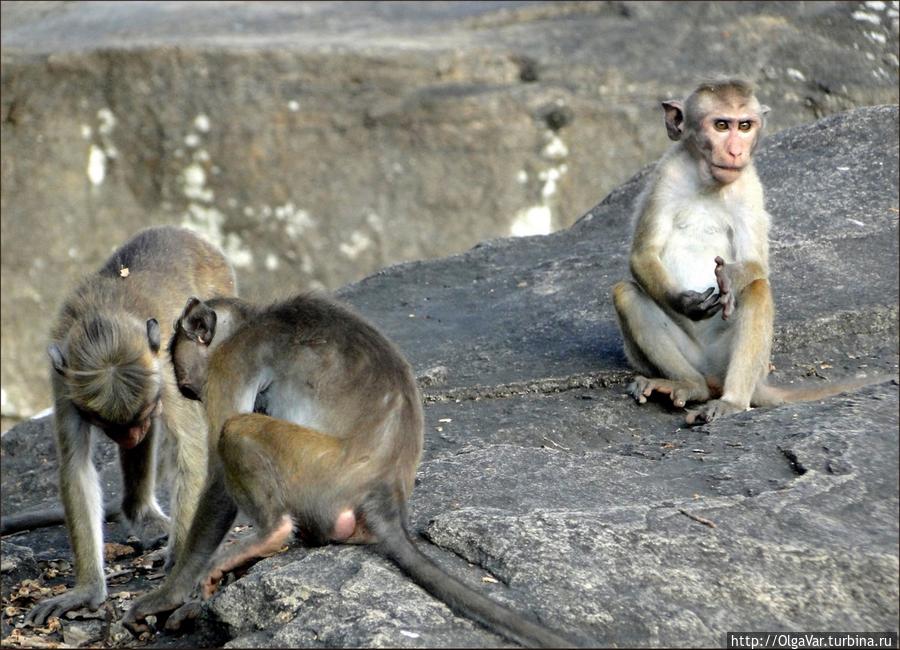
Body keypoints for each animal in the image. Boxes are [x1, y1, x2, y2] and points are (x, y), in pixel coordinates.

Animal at [3, 227, 236, 624]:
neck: (104, 316)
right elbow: (76, 467)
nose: (130, 434)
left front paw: (181, 565)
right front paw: (86, 590)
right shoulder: (64, 381)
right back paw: (138, 512)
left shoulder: (164, 374)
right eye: (105, 423)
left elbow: (190, 449)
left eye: (142, 414)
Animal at [123, 294, 576, 648]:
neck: (248, 321)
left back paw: (271, 533)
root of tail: (385, 493)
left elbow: (218, 472)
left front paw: (167, 593)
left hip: (316, 470)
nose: (192, 390)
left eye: (187, 381)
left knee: (238, 432)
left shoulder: (231, 363)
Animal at [612, 79, 884, 426]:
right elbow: (642, 254)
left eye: (744, 126)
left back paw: (731, 401)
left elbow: (757, 264)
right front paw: (688, 303)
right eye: (721, 125)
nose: (735, 151)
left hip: (733, 360)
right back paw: (690, 385)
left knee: (757, 289)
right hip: (688, 356)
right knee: (625, 293)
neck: (709, 182)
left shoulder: (750, 187)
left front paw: (729, 276)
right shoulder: (665, 176)